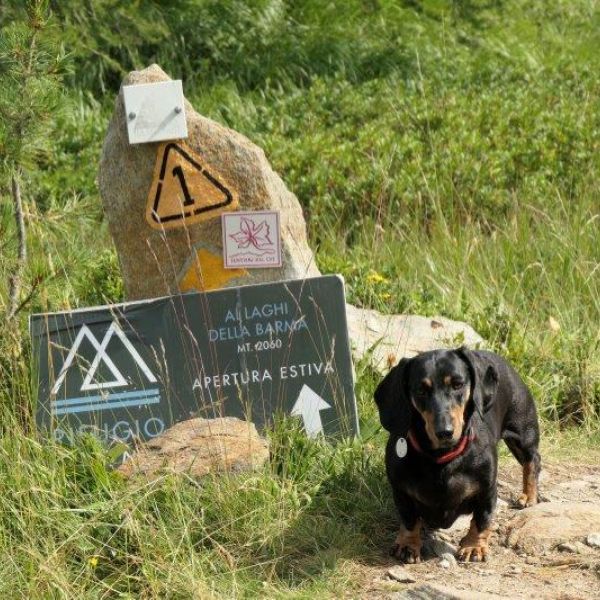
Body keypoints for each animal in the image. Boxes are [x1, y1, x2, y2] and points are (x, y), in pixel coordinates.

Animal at [376, 346, 540, 564]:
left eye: (457, 384)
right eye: (420, 390)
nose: (444, 432)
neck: (441, 458)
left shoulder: (487, 491)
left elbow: (482, 520)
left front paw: (473, 546)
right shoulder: (401, 491)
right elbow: (409, 519)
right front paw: (408, 544)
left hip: (523, 433)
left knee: (532, 461)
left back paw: (529, 495)